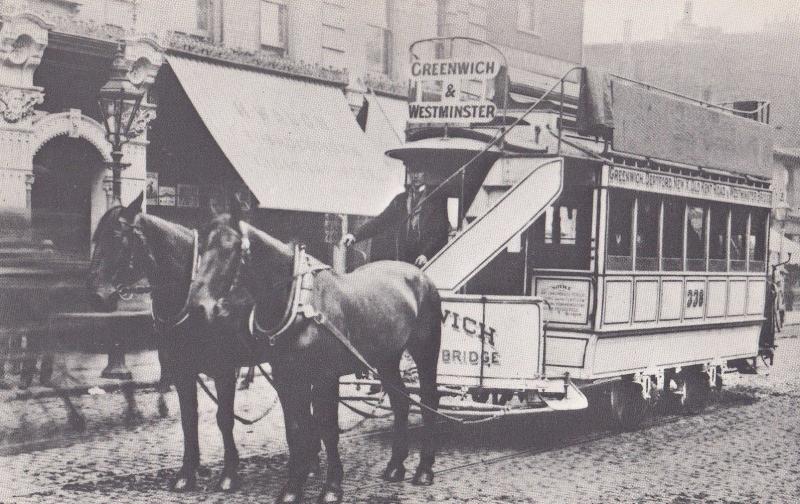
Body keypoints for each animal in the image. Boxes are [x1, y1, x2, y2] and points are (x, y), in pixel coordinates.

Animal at [190, 212, 444, 504]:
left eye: (231, 249)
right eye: (201, 247)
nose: (198, 307)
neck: (301, 302)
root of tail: (420, 275)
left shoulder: (325, 378)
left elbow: (327, 428)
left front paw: (332, 486)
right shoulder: (287, 378)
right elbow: (296, 430)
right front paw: (292, 488)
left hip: (425, 350)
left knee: (429, 400)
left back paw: (424, 470)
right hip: (386, 359)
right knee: (401, 403)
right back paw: (395, 466)